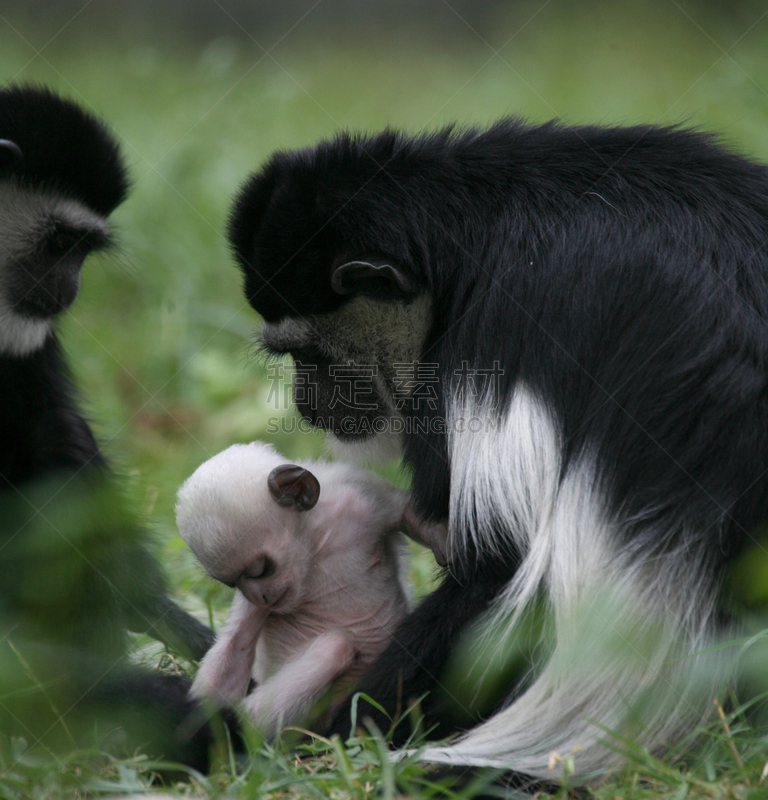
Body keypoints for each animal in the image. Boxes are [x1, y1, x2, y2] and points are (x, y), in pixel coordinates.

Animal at [176, 440, 448, 736]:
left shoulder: (361, 496)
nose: (260, 596)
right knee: (335, 647)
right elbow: (235, 646)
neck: (314, 545)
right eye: (233, 583)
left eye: (261, 569)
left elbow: (408, 513)